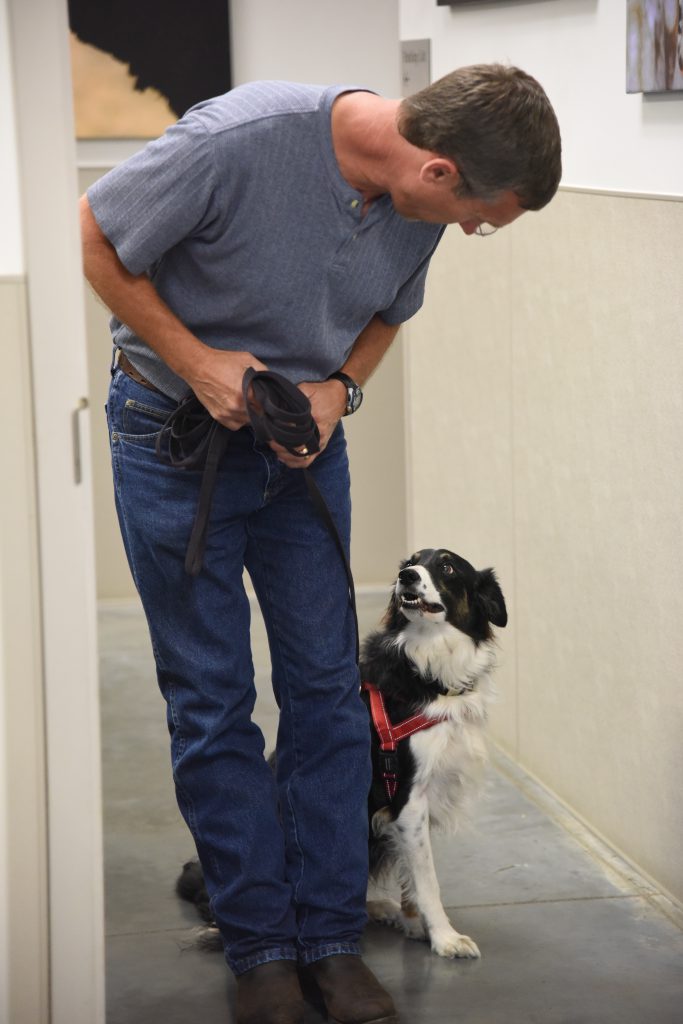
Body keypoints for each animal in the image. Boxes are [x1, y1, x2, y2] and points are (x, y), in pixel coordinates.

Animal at [176, 544, 507, 958]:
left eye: (447, 566)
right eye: (411, 562)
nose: (406, 577)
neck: (427, 666)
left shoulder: (413, 807)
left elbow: (410, 871)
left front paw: (413, 923)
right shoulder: (409, 795)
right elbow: (427, 878)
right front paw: (444, 937)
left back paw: (376, 908)